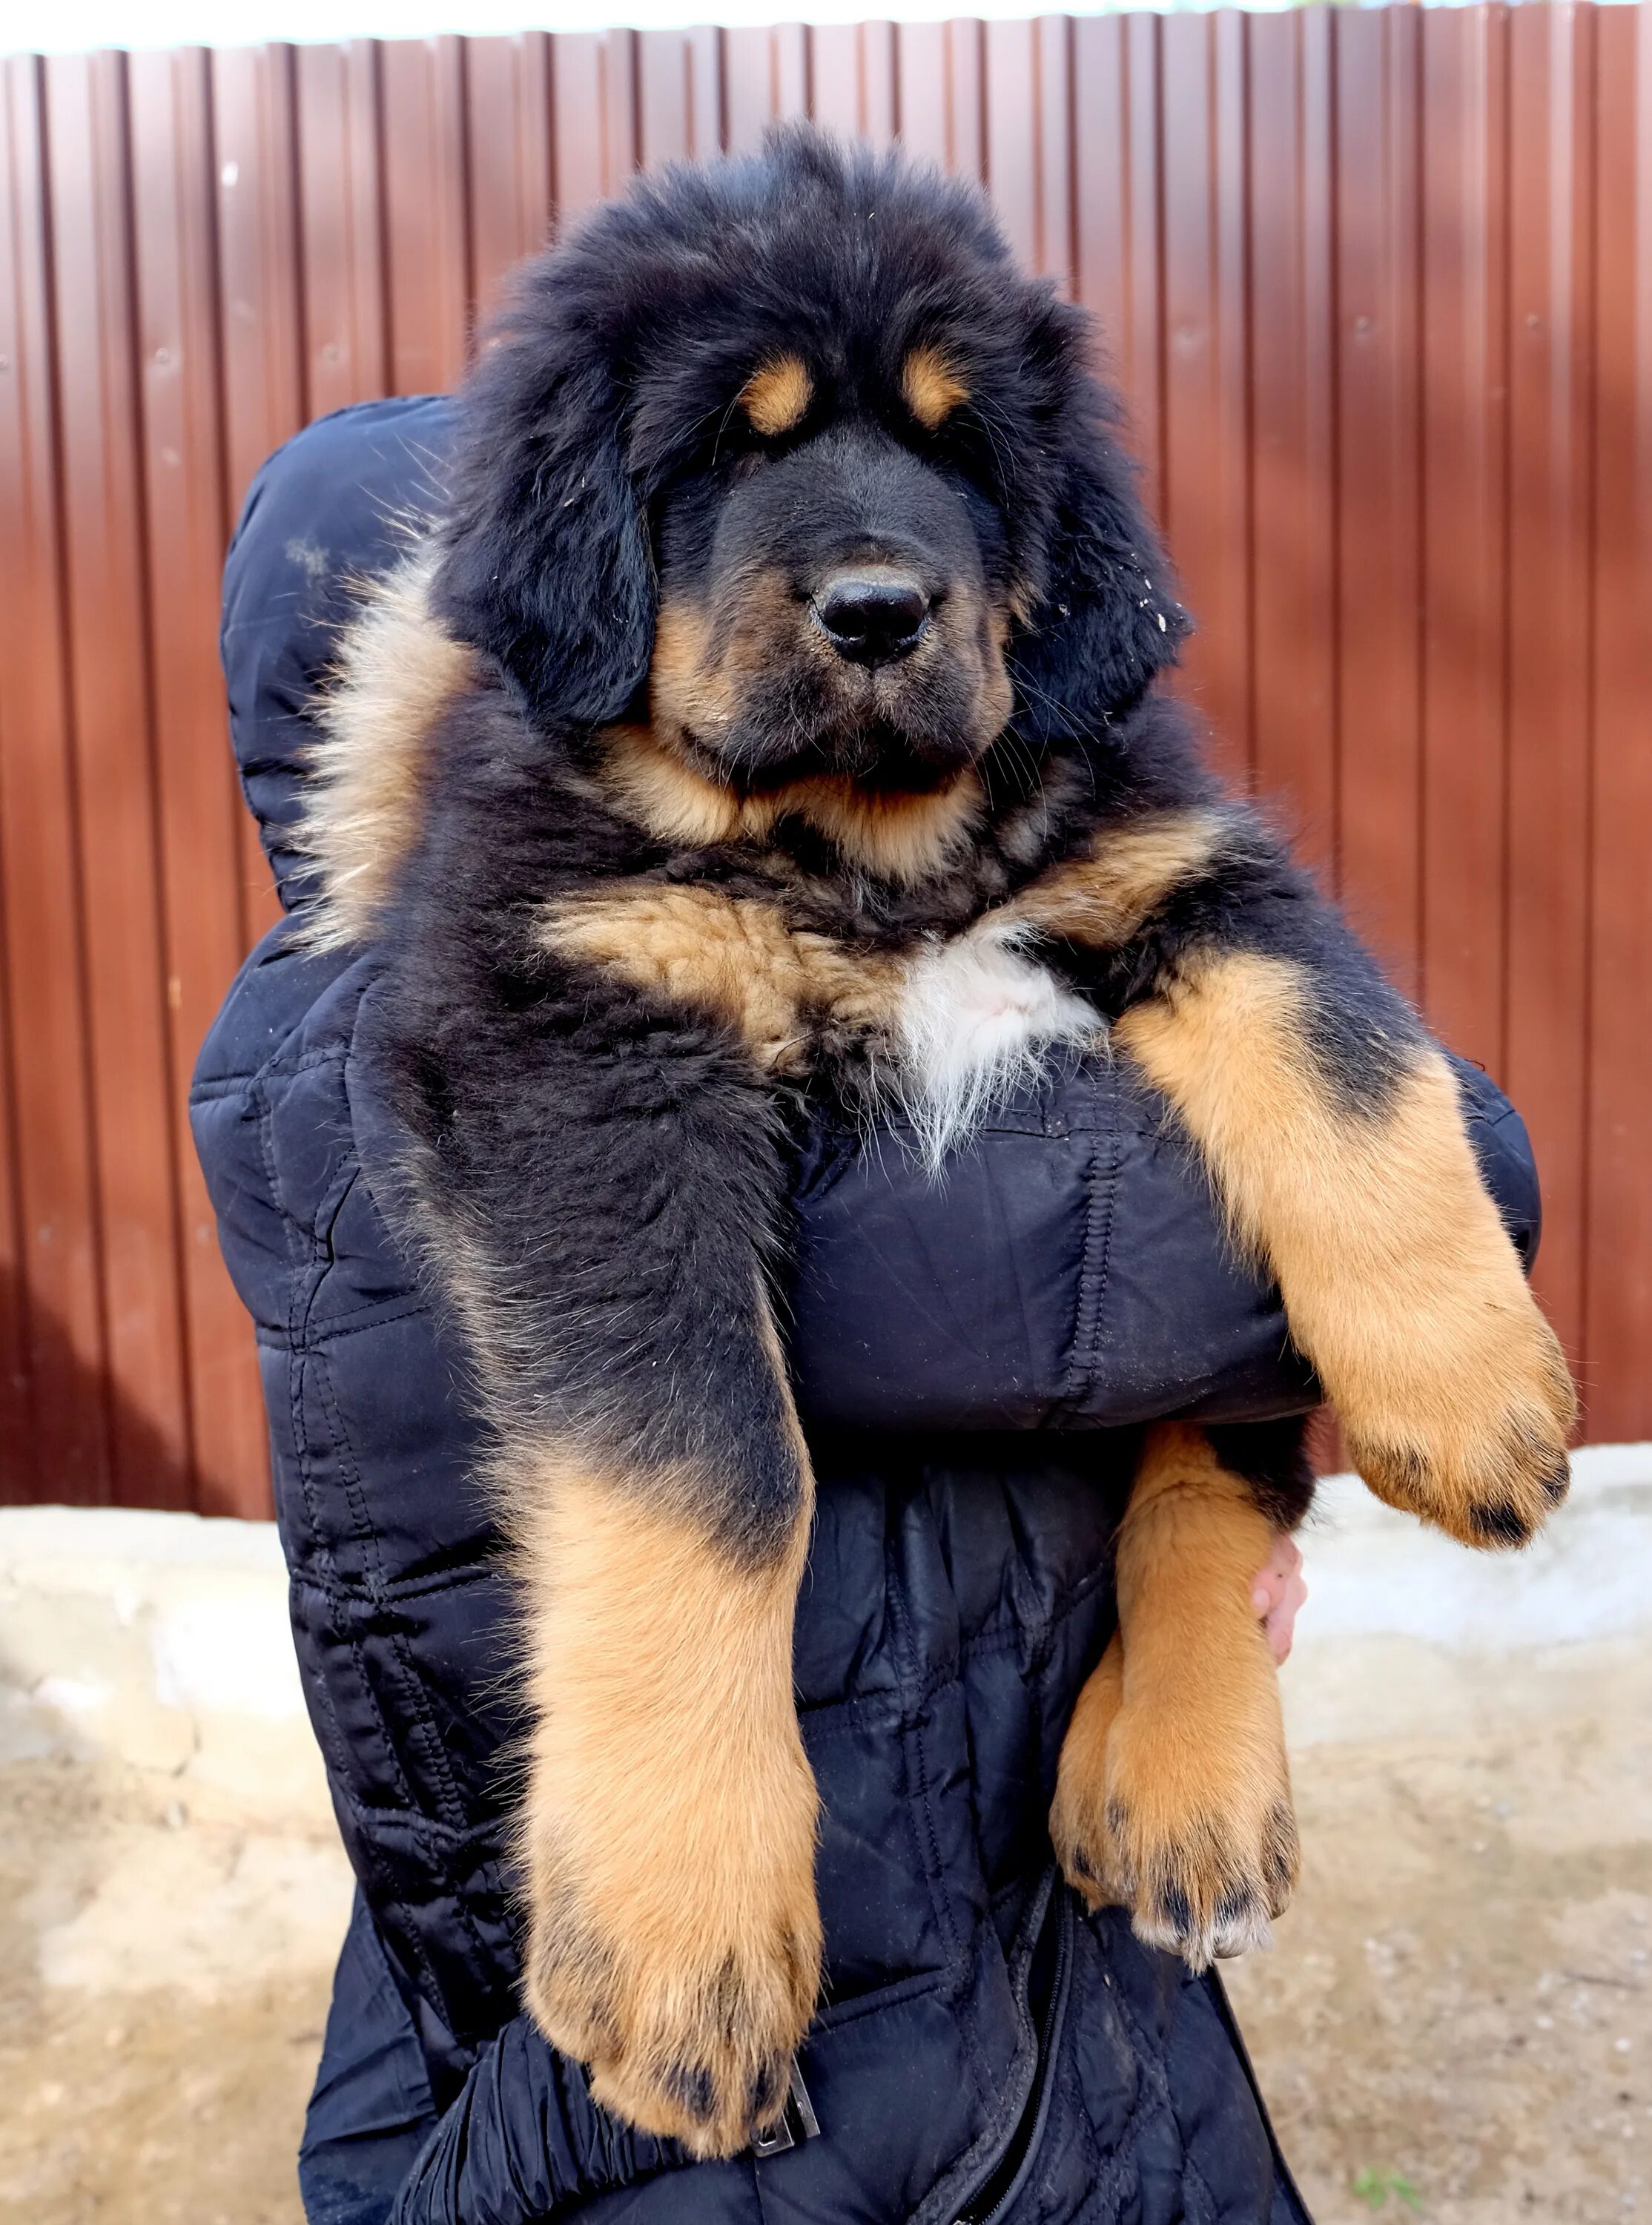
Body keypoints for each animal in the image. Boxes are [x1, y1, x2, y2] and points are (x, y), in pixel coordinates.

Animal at [297, 130, 1574, 2163]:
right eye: (717, 452)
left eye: (963, 452)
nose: (885, 611)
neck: (866, 854)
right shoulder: (577, 1042)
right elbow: (711, 1463)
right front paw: (682, 1920)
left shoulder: (1183, 867)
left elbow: (1361, 1058)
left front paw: (1469, 1386)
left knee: (1212, 1464)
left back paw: (1183, 1774)